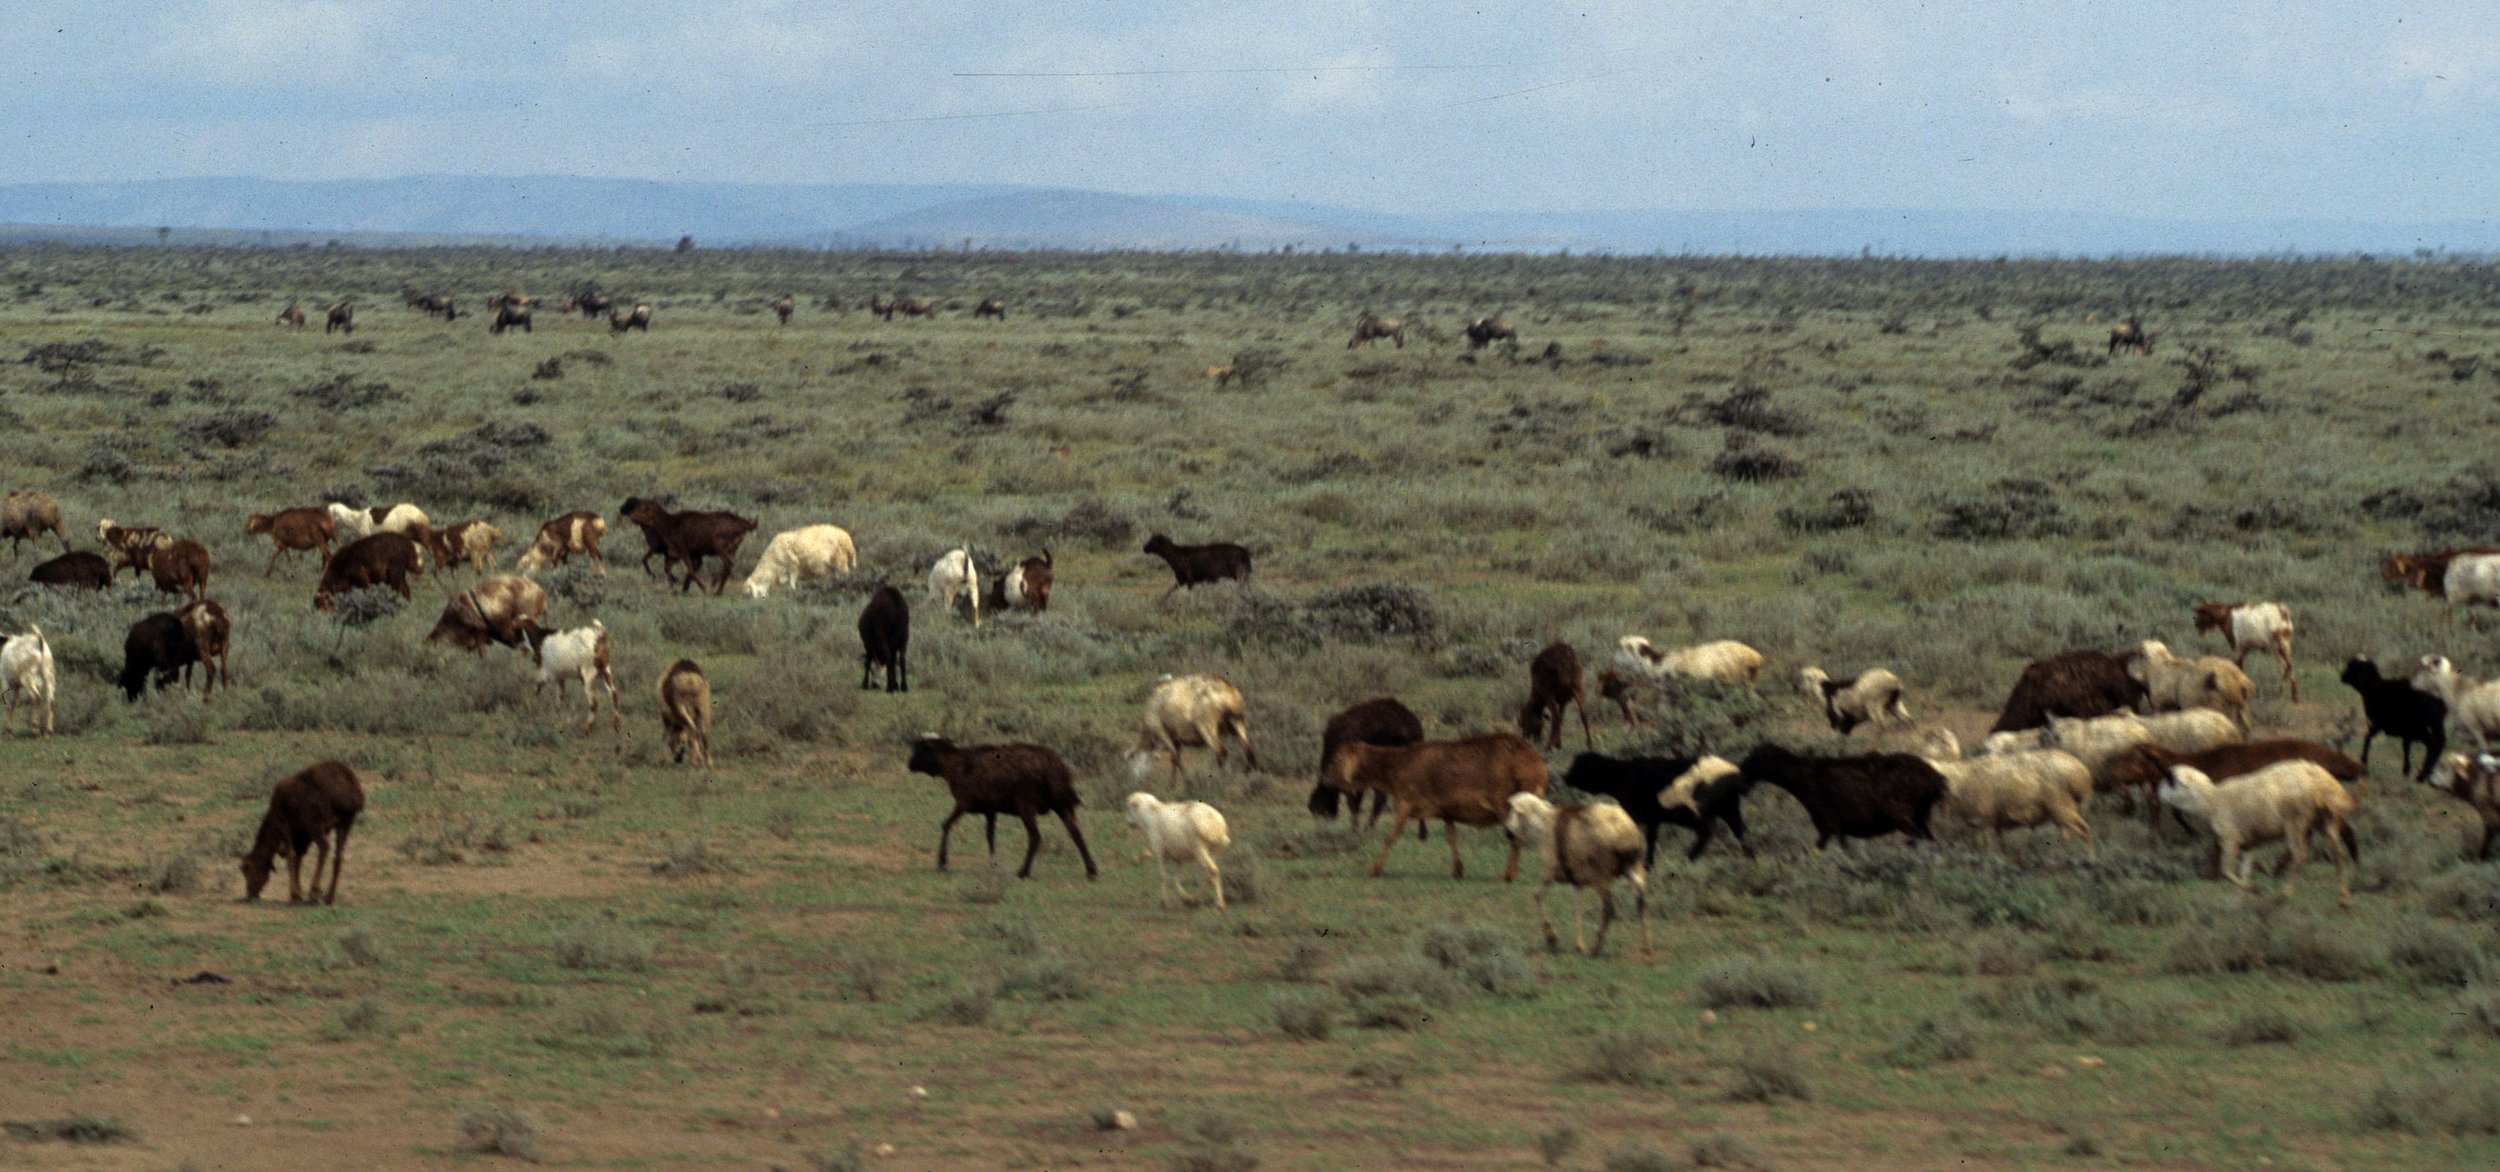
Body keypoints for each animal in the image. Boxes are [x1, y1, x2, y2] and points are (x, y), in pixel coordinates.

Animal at [239, 761, 365, 905]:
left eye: (247, 869)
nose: (249, 894)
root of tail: (351, 789)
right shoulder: (302, 836)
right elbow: (298, 858)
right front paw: (298, 892)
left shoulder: (285, 826)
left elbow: (291, 858)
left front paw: (295, 895)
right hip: (345, 822)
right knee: (338, 856)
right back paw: (329, 897)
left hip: (315, 823)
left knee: (324, 847)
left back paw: (314, 893)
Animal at [907, 735, 1099, 879]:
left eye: (921, 749)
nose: (909, 765)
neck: (952, 765)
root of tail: (1054, 764)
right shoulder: (990, 810)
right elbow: (990, 836)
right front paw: (993, 865)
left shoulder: (964, 802)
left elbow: (946, 825)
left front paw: (942, 862)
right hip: (1060, 804)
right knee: (1075, 833)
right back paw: (1091, 870)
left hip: (1026, 804)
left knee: (1035, 837)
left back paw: (1023, 872)